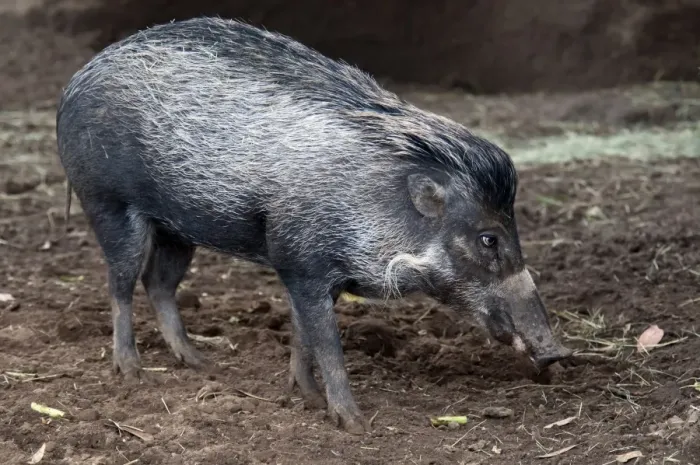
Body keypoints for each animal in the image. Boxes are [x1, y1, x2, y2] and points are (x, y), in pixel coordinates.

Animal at [56, 17, 571, 434]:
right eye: (489, 238)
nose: (556, 354)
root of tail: (77, 78)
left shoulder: (308, 272)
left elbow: (304, 335)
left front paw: (303, 396)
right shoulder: (302, 263)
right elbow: (329, 346)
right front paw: (354, 424)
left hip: (178, 229)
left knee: (158, 283)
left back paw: (201, 363)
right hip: (109, 205)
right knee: (121, 283)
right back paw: (131, 372)